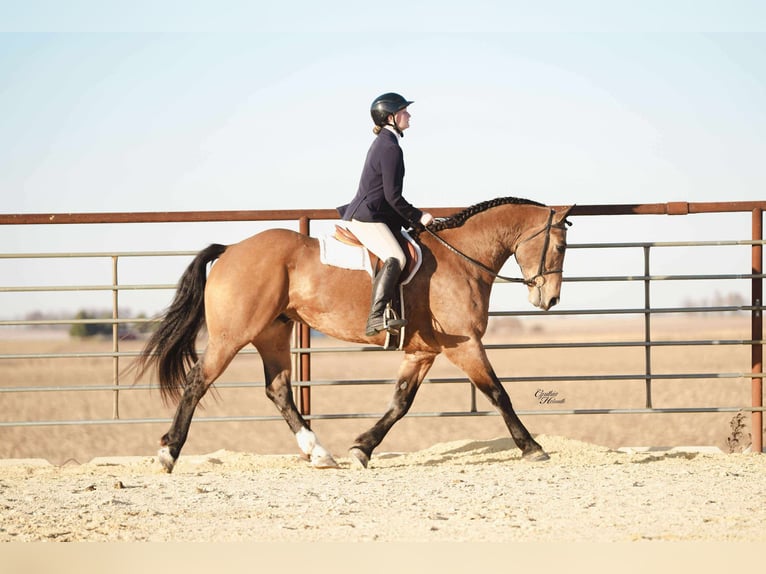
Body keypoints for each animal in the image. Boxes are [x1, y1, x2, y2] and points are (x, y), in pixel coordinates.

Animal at [135, 197, 574, 472]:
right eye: (560, 245)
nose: (549, 298)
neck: (462, 258)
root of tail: (230, 249)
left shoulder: (422, 352)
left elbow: (400, 403)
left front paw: (362, 448)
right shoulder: (466, 345)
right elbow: (498, 393)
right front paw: (532, 448)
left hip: (272, 335)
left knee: (279, 390)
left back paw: (319, 454)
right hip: (232, 336)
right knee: (198, 381)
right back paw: (169, 453)